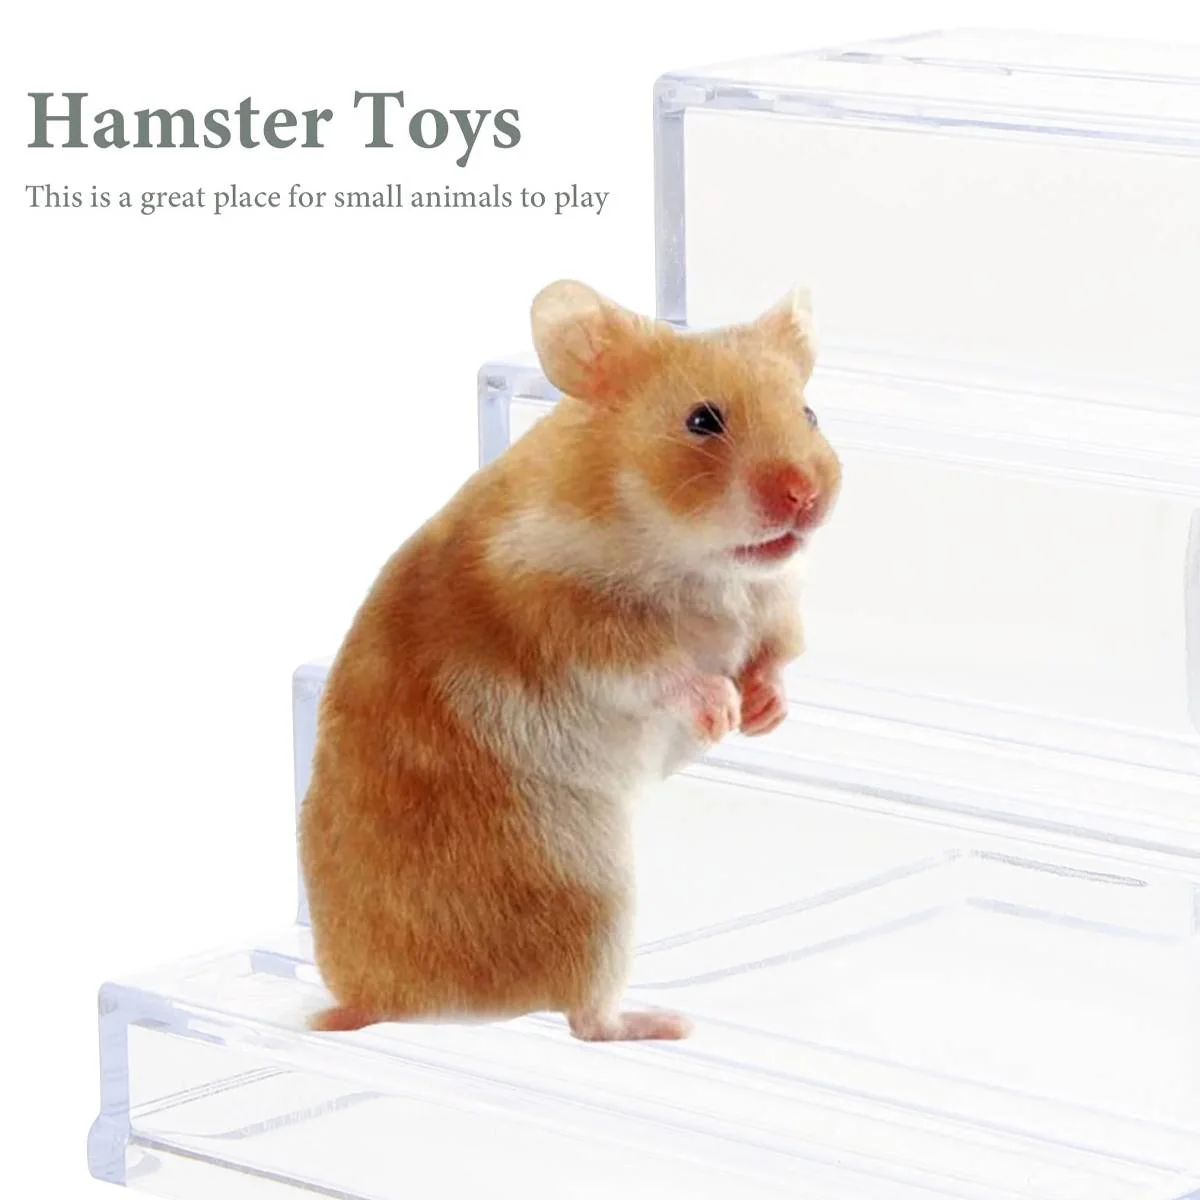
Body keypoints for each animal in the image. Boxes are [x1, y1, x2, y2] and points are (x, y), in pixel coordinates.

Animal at [299, 280, 842, 1041]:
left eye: (810, 412)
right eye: (702, 420)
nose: (806, 497)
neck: (697, 557)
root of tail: (382, 1002)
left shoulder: (774, 607)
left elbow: (775, 657)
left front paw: (762, 711)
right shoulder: (572, 618)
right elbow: (661, 670)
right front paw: (722, 712)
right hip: (593, 891)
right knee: (586, 1019)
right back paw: (665, 1022)